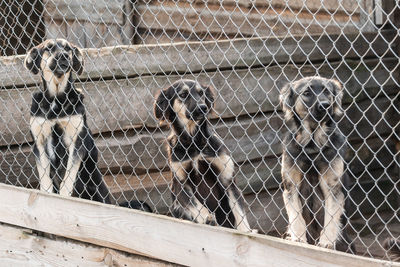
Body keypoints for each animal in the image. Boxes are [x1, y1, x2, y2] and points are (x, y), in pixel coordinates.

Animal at [24, 39, 111, 203]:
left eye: (67, 48)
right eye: (49, 48)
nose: (64, 55)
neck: (56, 98)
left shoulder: (76, 141)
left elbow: (68, 177)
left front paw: (64, 197)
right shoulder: (38, 143)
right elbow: (45, 177)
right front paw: (46, 194)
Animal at [153, 79, 250, 232]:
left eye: (201, 93)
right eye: (183, 94)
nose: (203, 108)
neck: (194, 142)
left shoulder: (228, 180)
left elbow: (239, 211)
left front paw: (247, 232)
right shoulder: (180, 184)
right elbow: (195, 203)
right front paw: (207, 218)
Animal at [280, 76, 354, 253]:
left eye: (327, 91)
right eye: (307, 93)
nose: (325, 105)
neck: (312, 145)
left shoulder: (333, 188)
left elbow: (331, 217)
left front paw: (326, 242)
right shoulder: (290, 187)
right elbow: (296, 217)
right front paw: (299, 239)